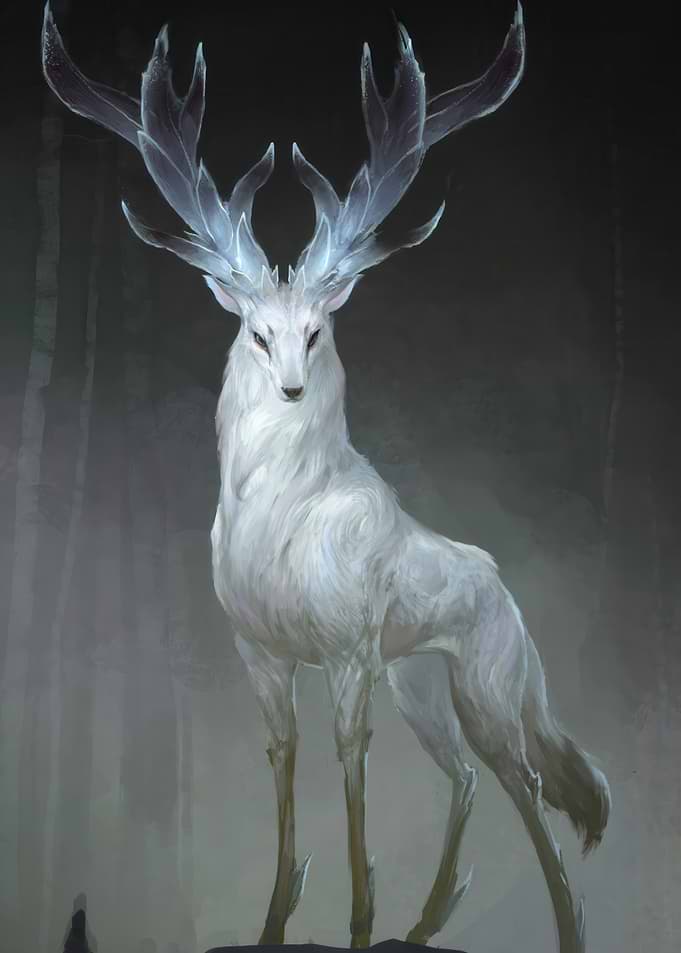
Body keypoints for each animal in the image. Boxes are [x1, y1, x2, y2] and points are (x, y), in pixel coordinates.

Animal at [42, 3, 610, 951]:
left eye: (316, 331)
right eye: (257, 333)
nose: (291, 388)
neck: (280, 521)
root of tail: (505, 593)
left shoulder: (346, 654)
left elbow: (350, 768)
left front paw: (354, 923)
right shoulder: (262, 654)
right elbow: (284, 762)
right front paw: (275, 921)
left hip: (485, 691)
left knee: (530, 786)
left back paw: (558, 926)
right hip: (422, 687)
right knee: (464, 778)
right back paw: (423, 923)